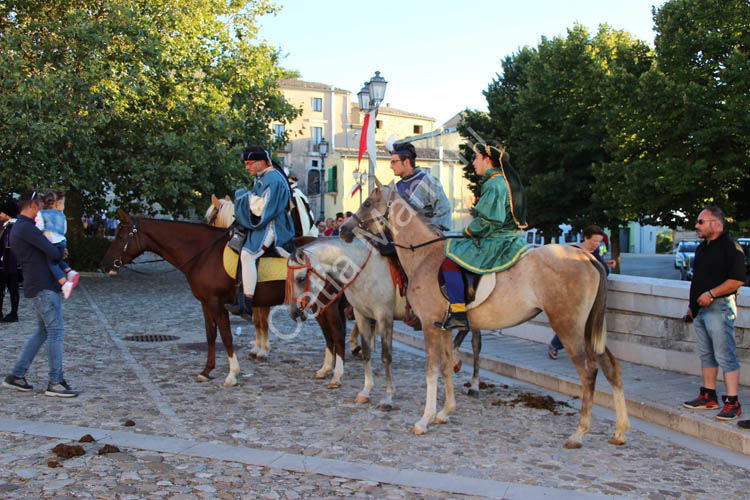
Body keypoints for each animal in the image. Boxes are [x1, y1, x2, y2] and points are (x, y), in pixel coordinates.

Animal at [101, 209, 352, 388]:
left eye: (121, 235)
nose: (105, 263)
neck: (203, 254)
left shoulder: (217, 303)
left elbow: (227, 336)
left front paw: (232, 374)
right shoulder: (205, 303)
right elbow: (211, 336)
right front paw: (206, 371)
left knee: (337, 335)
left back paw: (337, 376)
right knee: (329, 336)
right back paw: (325, 370)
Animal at [342, 181, 636, 450]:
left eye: (367, 203)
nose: (344, 229)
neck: (423, 255)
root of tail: (585, 256)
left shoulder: (428, 326)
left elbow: (431, 370)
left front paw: (424, 419)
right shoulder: (444, 327)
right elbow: (447, 366)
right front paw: (445, 412)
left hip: (568, 328)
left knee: (588, 372)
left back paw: (579, 433)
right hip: (587, 330)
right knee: (611, 366)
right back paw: (620, 431)